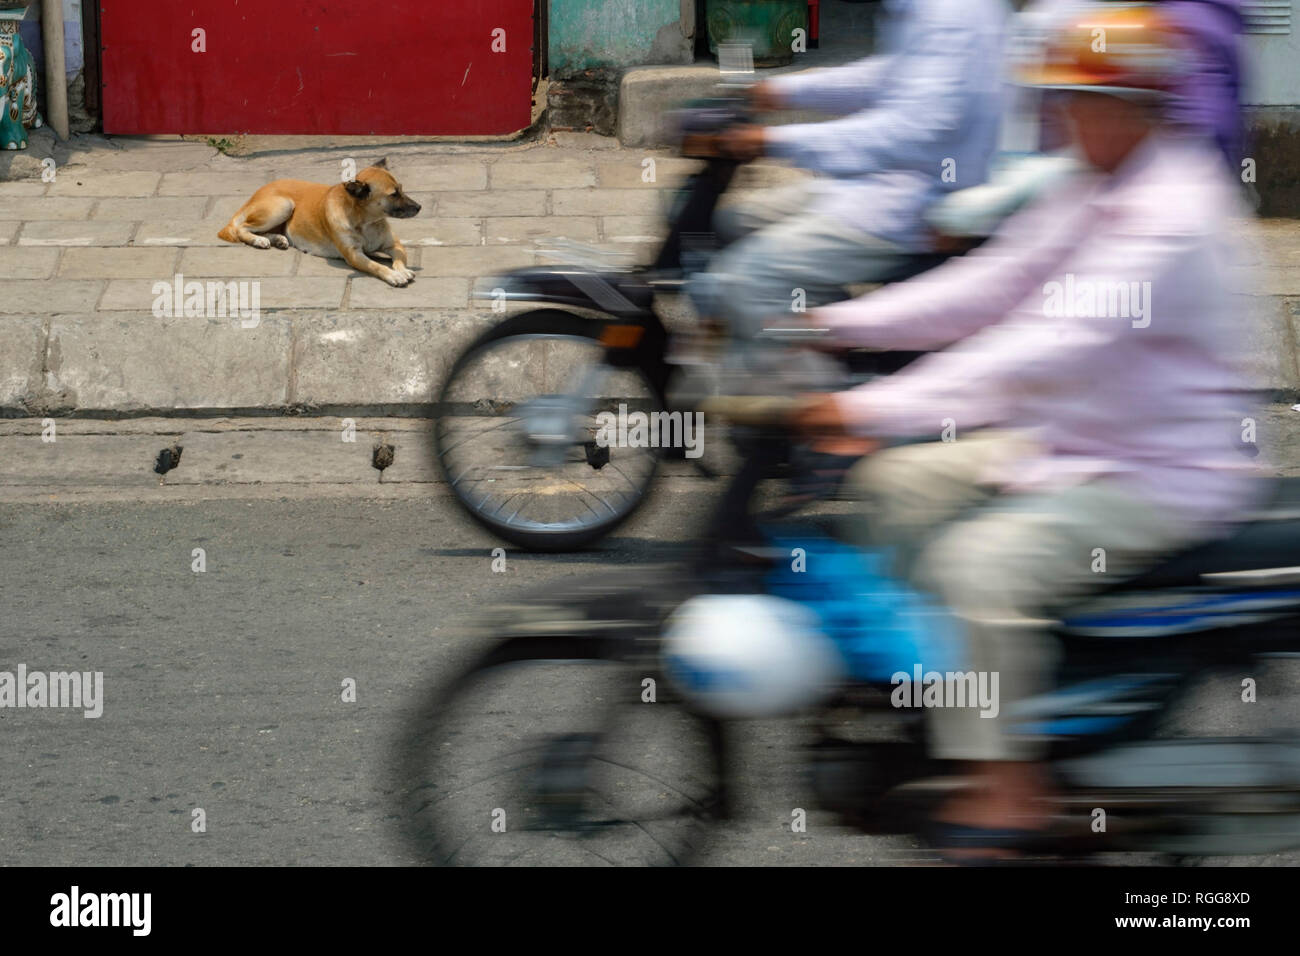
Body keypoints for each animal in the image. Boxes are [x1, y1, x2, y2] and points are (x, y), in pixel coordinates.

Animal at [218, 158, 421, 286]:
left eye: (401, 189)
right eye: (393, 194)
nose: (419, 207)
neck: (366, 221)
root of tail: (256, 193)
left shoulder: (394, 245)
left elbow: (399, 259)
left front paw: (401, 270)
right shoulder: (354, 255)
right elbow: (377, 266)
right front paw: (393, 275)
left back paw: (277, 239)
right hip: (283, 206)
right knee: (242, 228)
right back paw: (258, 240)